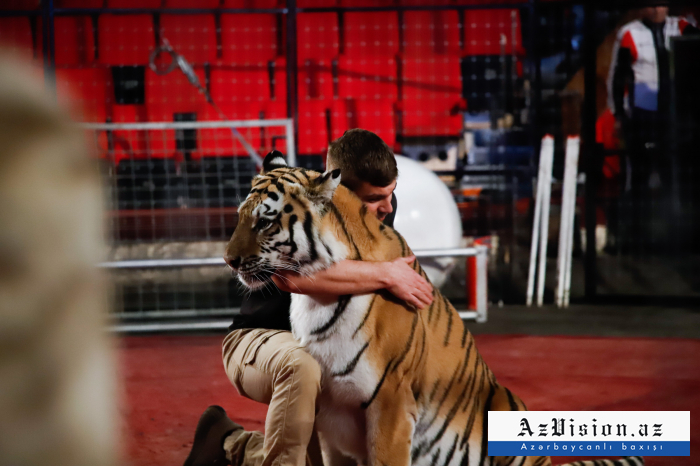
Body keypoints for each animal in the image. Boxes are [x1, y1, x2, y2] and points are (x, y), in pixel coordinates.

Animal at [224, 150, 644, 466]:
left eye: (264, 222)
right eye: (240, 217)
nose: (228, 260)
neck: (316, 299)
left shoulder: (390, 402)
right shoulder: (327, 416)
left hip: (507, 408)